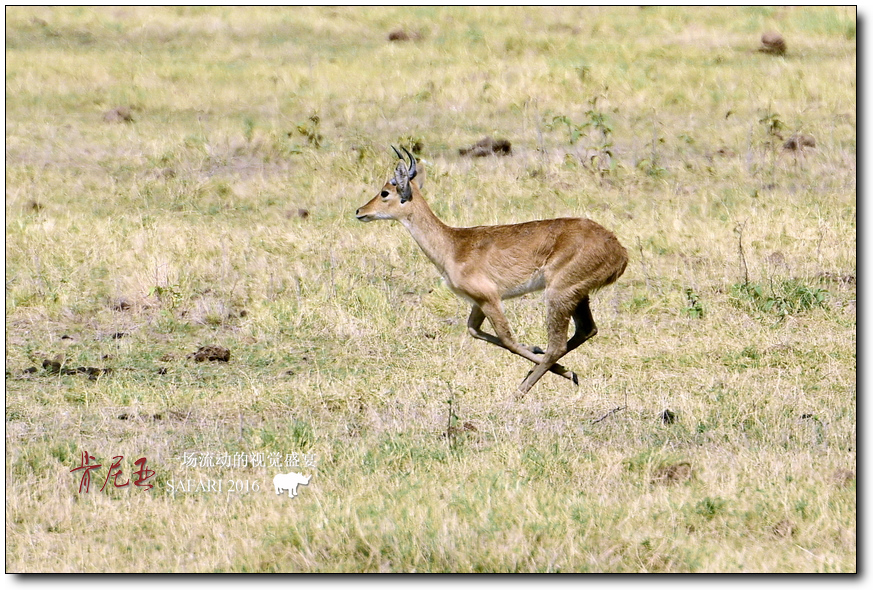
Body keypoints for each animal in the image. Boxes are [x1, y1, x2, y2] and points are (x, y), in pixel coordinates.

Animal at [354, 147, 628, 402]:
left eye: (385, 192)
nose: (359, 211)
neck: (453, 245)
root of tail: (619, 249)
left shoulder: (490, 298)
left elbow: (506, 339)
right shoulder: (478, 302)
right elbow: (474, 331)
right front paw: (544, 356)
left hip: (559, 294)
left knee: (557, 344)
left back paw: (522, 390)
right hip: (578, 294)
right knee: (586, 330)